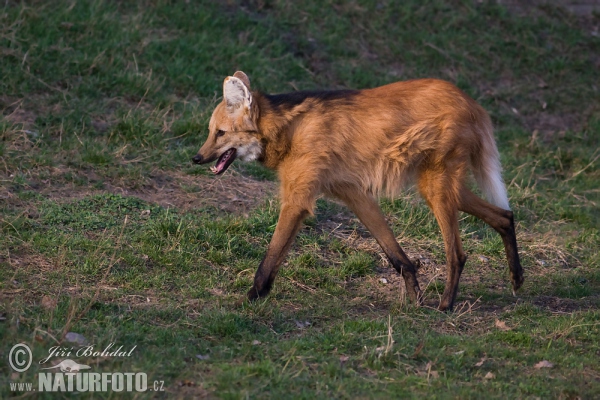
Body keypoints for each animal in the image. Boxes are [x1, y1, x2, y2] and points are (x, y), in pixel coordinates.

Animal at [195, 71, 524, 310]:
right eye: (210, 132)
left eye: (220, 133)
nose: (196, 158)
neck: (287, 130)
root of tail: (471, 101)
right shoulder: (354, 194)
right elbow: (396, 256)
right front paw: (415, 298)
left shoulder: (298, 200)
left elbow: (269, 259)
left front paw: (250, 298)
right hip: (439, 185)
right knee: (504, 215)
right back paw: (517, 279)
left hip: (436, 186)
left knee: (457, 252)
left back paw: (446, 305)